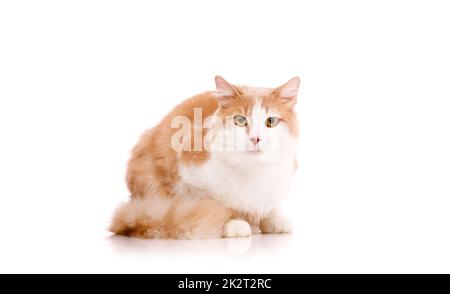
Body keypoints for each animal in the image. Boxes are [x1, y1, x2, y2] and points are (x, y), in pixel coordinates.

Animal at [109, 76, 300, 239]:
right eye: (240, 120)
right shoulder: (191, 181)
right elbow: (221, 206)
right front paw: (234, 223)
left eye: (271, 121)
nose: (255, 138)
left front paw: (272, 220)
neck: (254, 170)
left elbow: (269, 207)